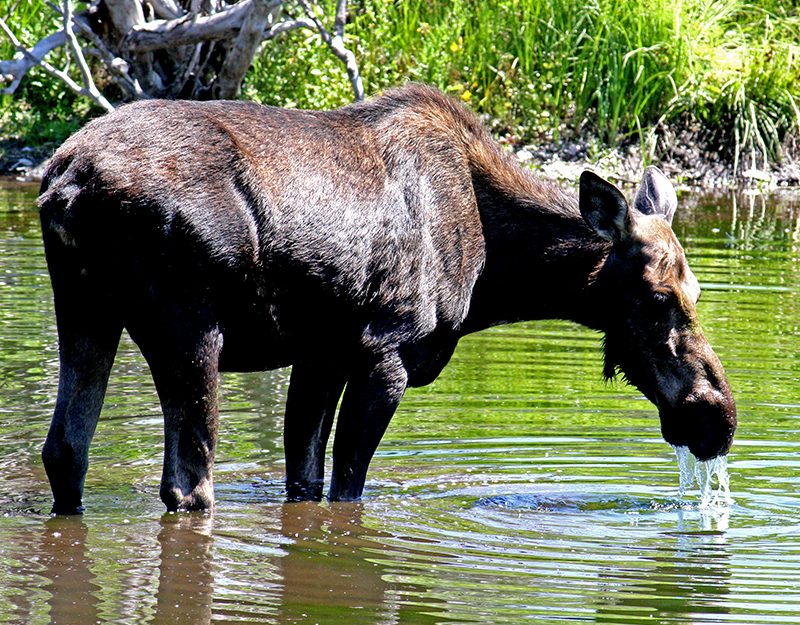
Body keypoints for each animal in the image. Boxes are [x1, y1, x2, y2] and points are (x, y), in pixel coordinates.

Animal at [39, 83, 736, 512]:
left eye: (697, 292)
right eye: (658, 298)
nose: (718, 418)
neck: (497, 275)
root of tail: (65, 183)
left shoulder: (320, 355)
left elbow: (305, 476)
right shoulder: (386, 352)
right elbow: (346, 487)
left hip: (85, 309)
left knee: (65, 451)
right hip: (189, 328)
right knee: (189, 484)